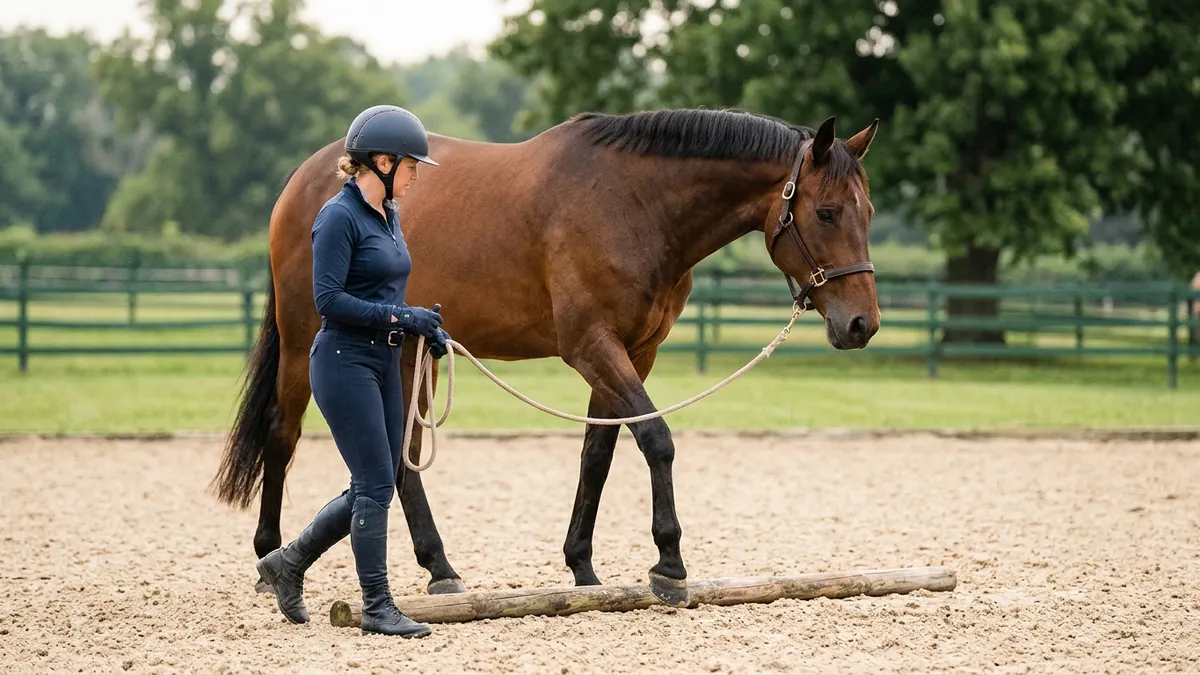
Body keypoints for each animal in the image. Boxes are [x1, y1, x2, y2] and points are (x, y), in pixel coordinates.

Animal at [210, 107, 882, 606]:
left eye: (868, 212)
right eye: (826, 212)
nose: (862, 324)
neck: (633, 202)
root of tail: (307, 179)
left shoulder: (634, 353)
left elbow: (599, 452)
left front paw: (582, 567)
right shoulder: (592, 346)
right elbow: (656, 439)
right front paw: (668, 563)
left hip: (408, 351)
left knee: (401, 457)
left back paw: (439, 568)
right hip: (307, 339)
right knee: (283, 433)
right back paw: (269, 555)